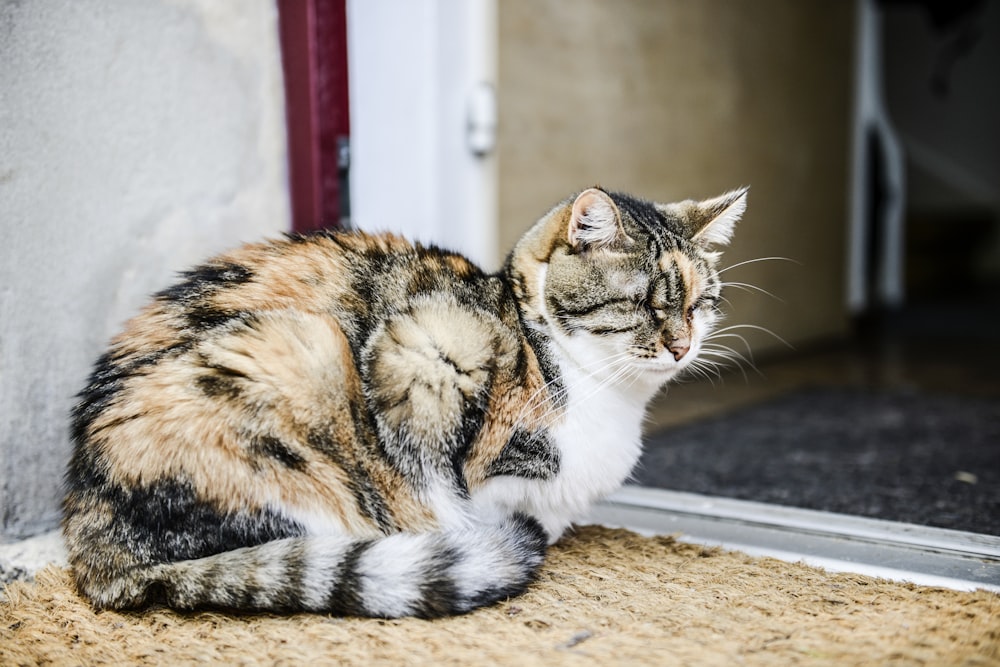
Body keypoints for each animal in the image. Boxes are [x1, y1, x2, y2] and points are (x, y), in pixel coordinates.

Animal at [62, 185, 748, 620]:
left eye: (699, 304)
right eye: (644, 304)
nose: (682, 345)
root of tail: (90, 538)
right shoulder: (430, 349)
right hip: (299, 357)